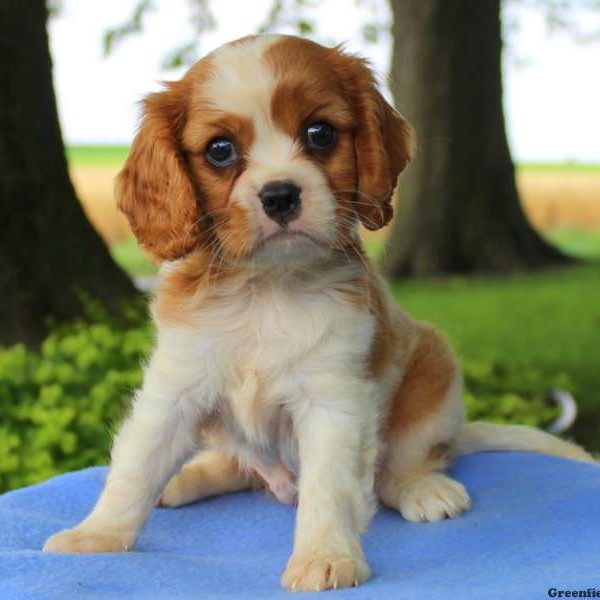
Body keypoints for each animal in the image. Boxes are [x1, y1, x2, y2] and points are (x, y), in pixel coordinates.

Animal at [43, 34, 596, 592]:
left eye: (320, 133)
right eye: (220, 150)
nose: (280, 195)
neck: (266, 287)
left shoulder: (333, 402)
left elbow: (328, 489)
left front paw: (325, 558)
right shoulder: (175, 390)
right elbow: (136, 467)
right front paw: (96, 536)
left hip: (432, 373)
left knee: (402, 465)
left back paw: (423, 488)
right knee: (237, 464)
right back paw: (185, 478)